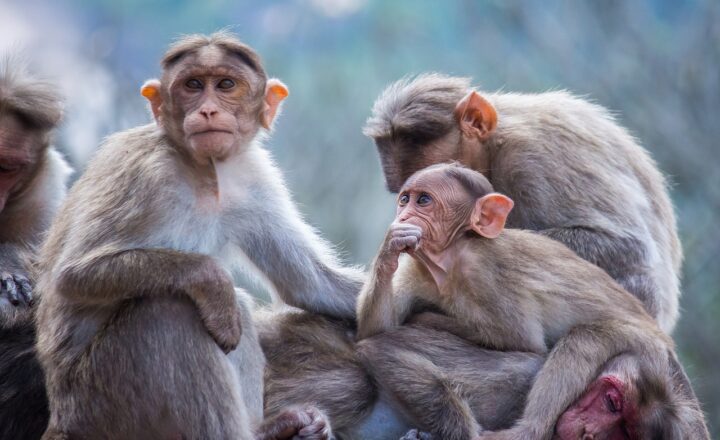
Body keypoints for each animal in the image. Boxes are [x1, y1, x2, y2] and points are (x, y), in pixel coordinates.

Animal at [35, 32, 363, 439]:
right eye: (192, 85)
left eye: (225, 85)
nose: (207, 111)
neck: (200, 169)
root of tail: (59, 417)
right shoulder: (145, 172)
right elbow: (72, 275)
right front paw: (211, 279)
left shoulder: (252, 176)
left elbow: (309, 284)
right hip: (99, 404)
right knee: (170, 310)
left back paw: (271, 428)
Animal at [355, 163, 694, 439]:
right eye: (405, 199)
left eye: (423, 200)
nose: (403, 214)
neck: (452, 256)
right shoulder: (416, 268)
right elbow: (378, 326)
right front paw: (390, 247)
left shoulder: (487, 274)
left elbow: (522, 341)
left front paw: (427, 318)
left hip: (646, 347)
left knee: (586, 339)